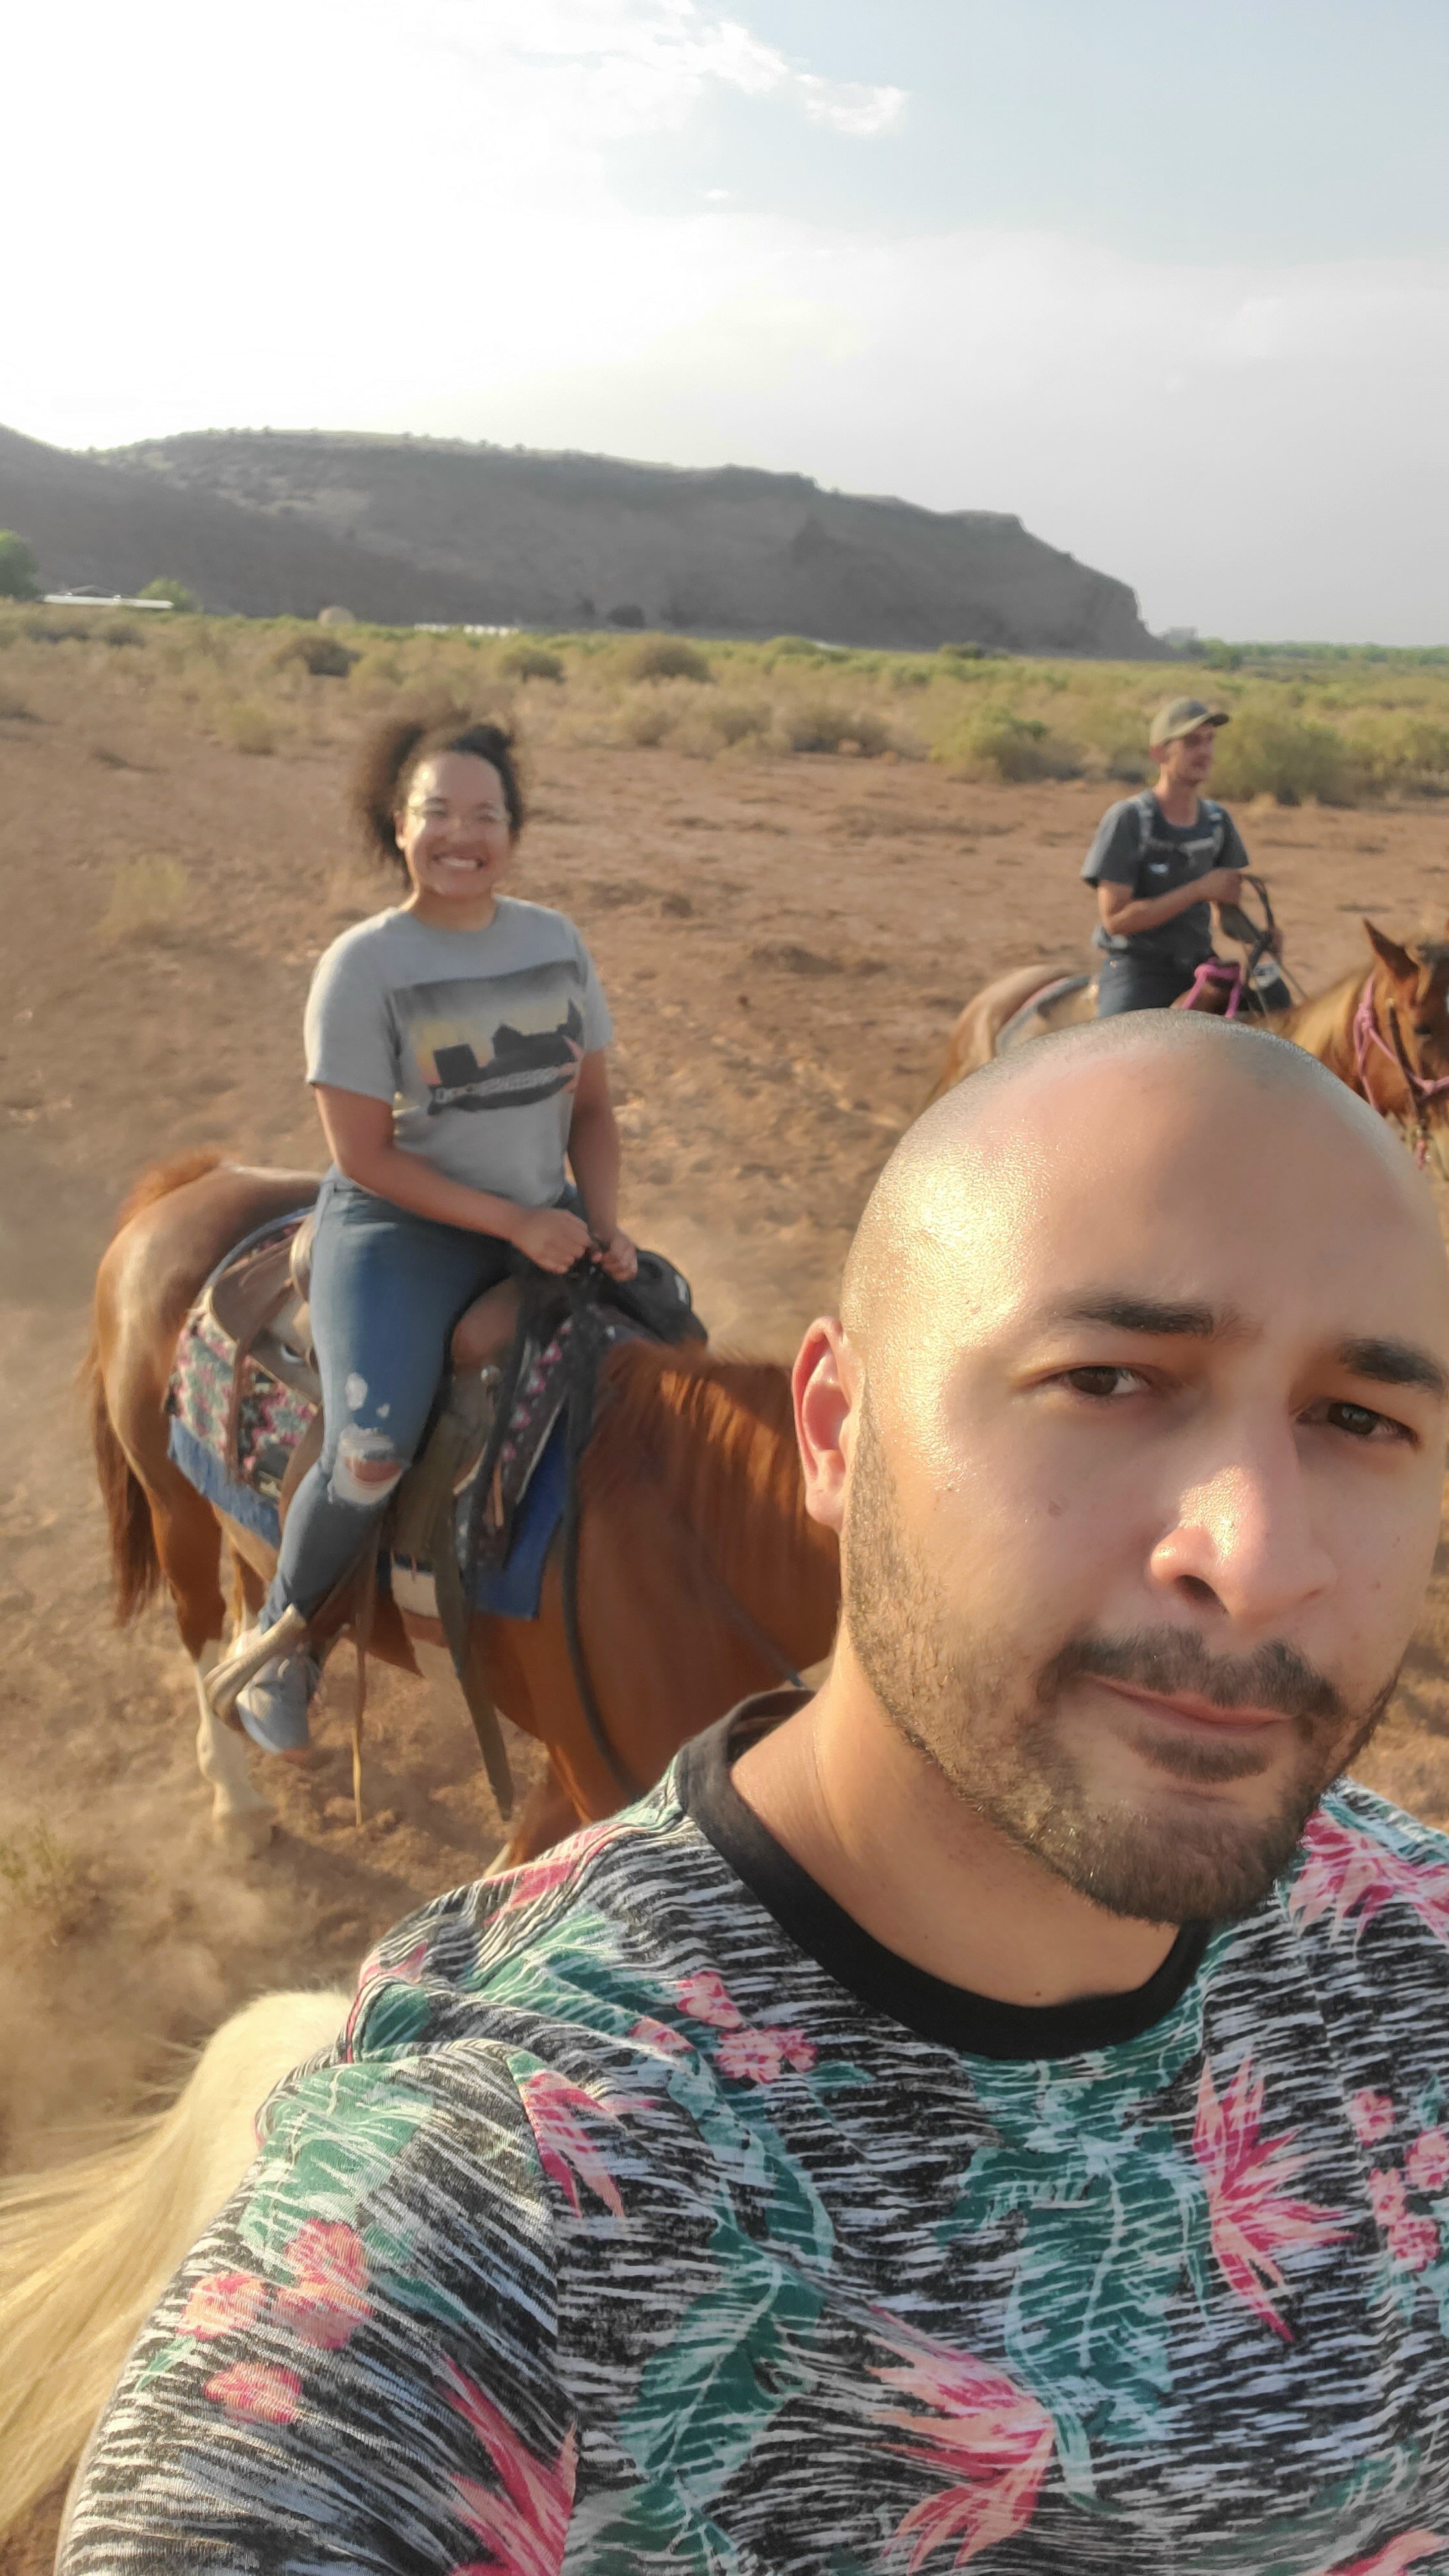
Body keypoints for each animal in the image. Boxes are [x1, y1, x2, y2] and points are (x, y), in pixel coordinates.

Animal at [88, 1159, 835, 1864]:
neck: (694, 1537)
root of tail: (193, 1182)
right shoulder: (595, 1777)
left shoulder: (573, 1779)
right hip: (173, 1501)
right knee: (200, 1623)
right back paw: (237, 1800)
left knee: (256, 1586)